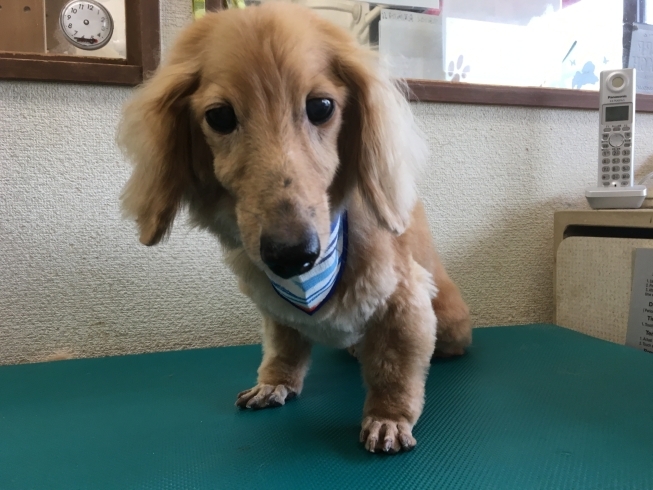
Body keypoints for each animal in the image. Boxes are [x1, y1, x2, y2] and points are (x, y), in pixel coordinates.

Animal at [119, 2, 472, 456]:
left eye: (321, 106)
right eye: (219, 116)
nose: (291, 254)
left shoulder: (405, 299)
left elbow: (395, 366)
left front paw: (389, 417)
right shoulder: (276, 307)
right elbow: (284, 345)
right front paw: (275, 382)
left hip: (451, 324)